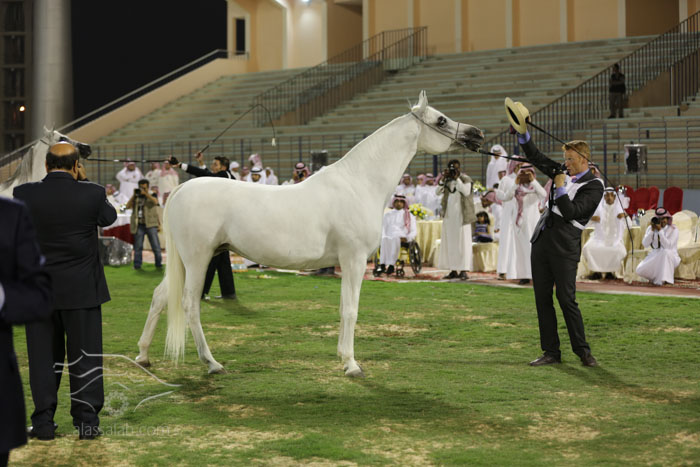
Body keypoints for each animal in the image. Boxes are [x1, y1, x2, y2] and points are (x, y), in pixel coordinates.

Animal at [135, 91, 484, 376]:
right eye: (441, 119)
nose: (477, 133)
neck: (358, 183)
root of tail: (181, 190)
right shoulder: (354, 259)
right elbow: (350, 310)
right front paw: (351, 364)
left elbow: (345, 309)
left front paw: (345, 358)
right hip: (198, 259)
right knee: (189, 303)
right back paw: (211, 362)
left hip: (186, 260)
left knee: (160, 297)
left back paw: (143, 355)